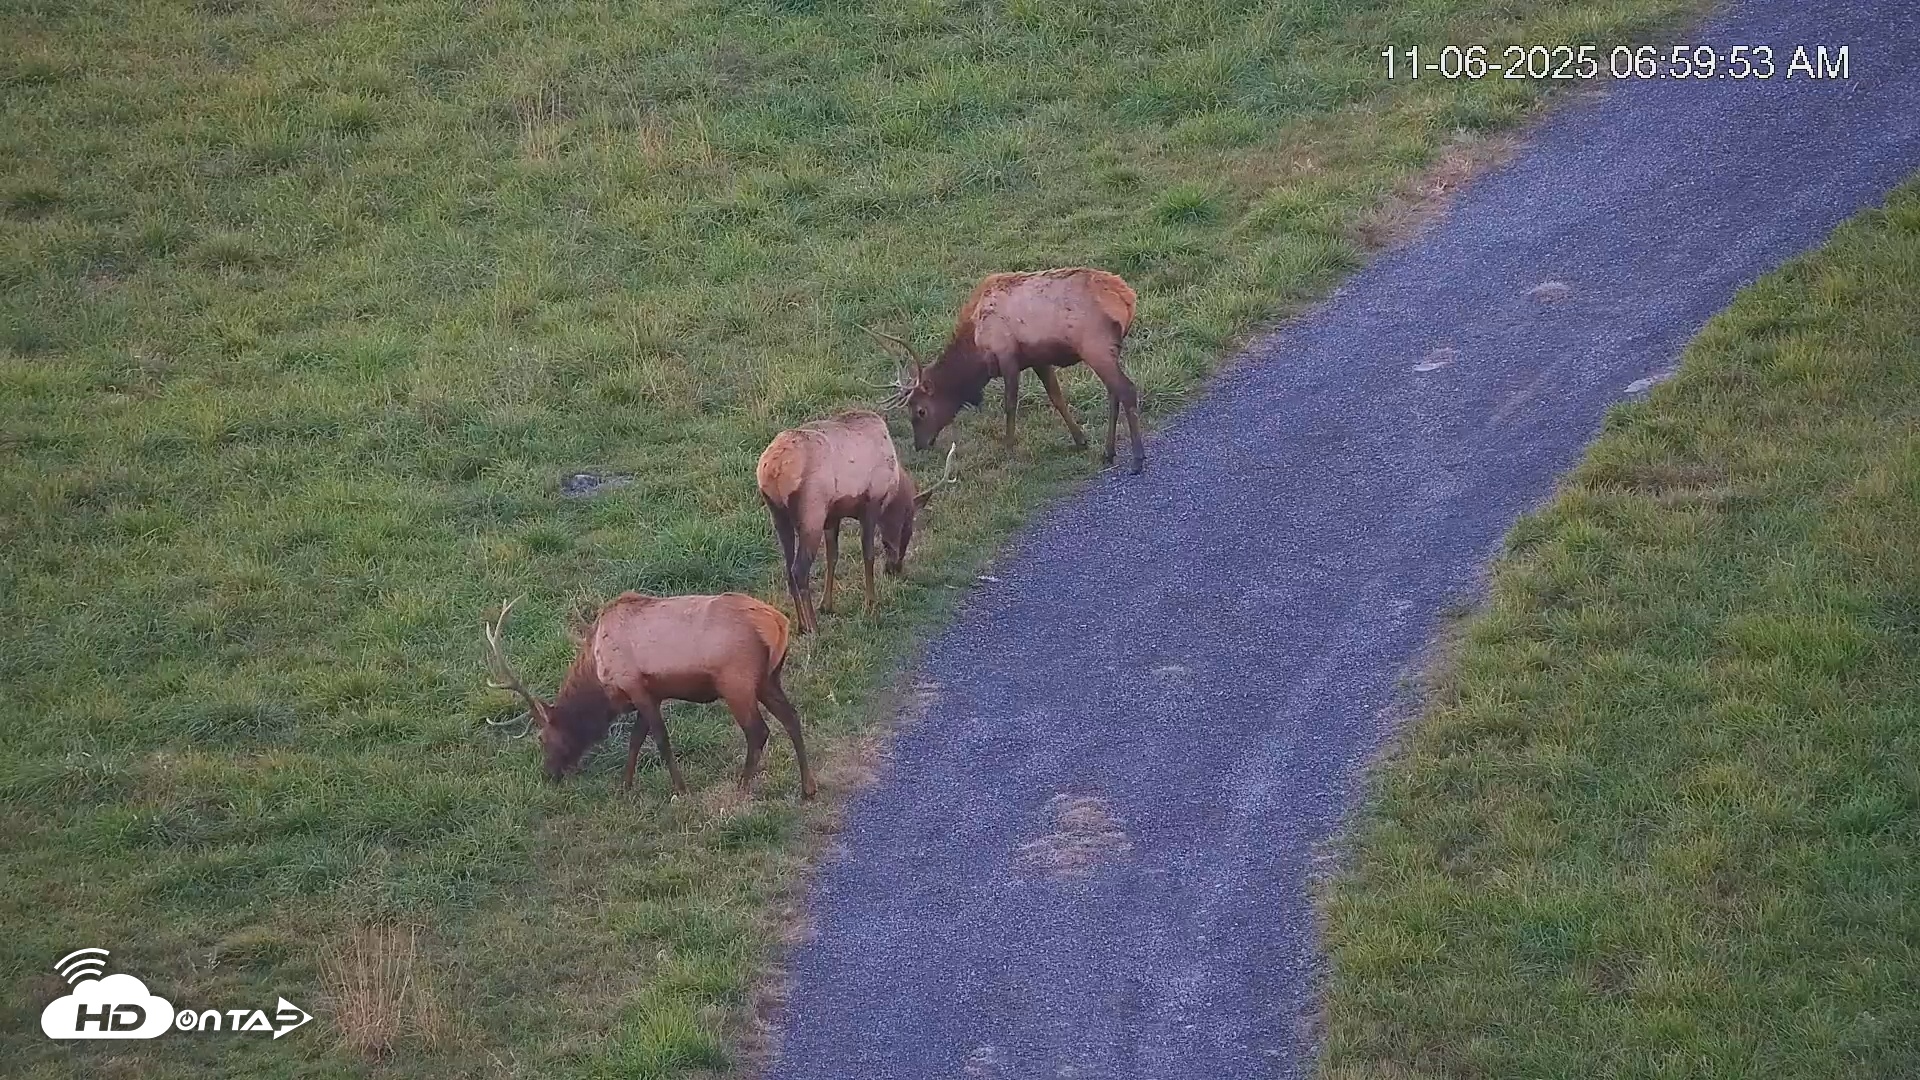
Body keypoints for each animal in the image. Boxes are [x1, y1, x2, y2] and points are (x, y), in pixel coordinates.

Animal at [481, 592, 816, 800]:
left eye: (542, 737)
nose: (548, 774)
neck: (599, 677)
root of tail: (779, 624)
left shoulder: (635, 686)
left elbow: (660, 739)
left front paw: (680, 789)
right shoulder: (649, 693)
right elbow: (636, 740)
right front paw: (624, 786)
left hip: (737, 681)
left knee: (758, 731)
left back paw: (743, 786)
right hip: (768, 679)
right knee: (791, 718)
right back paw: (808, 788)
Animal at [756, 409, 957, 635]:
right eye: (908, 528)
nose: (894, 569)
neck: (894, 487)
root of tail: (773, 470)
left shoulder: (833, 516)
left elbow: (832, 557)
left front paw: (827, 604)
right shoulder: (870, 506)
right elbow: (868, 555)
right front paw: (871, 604)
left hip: (778, 514)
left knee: (789, 569)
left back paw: (802, 625)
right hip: (811, 513)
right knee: (799, 570)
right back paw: (814, 627)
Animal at [869, 266, 1145, 474]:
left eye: (921, 411)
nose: (920, 445)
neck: (976, 349)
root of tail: (1128, 299)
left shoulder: (1007, 356)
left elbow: (1010, 404)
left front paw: (1008, 449)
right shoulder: (1038, 359)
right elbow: (1056, 397)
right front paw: (1081, 440)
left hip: (1095, 346)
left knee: (1126, 390)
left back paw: (1137, 459)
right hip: (1108, 350)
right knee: (1113, 394)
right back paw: (1108, 452)